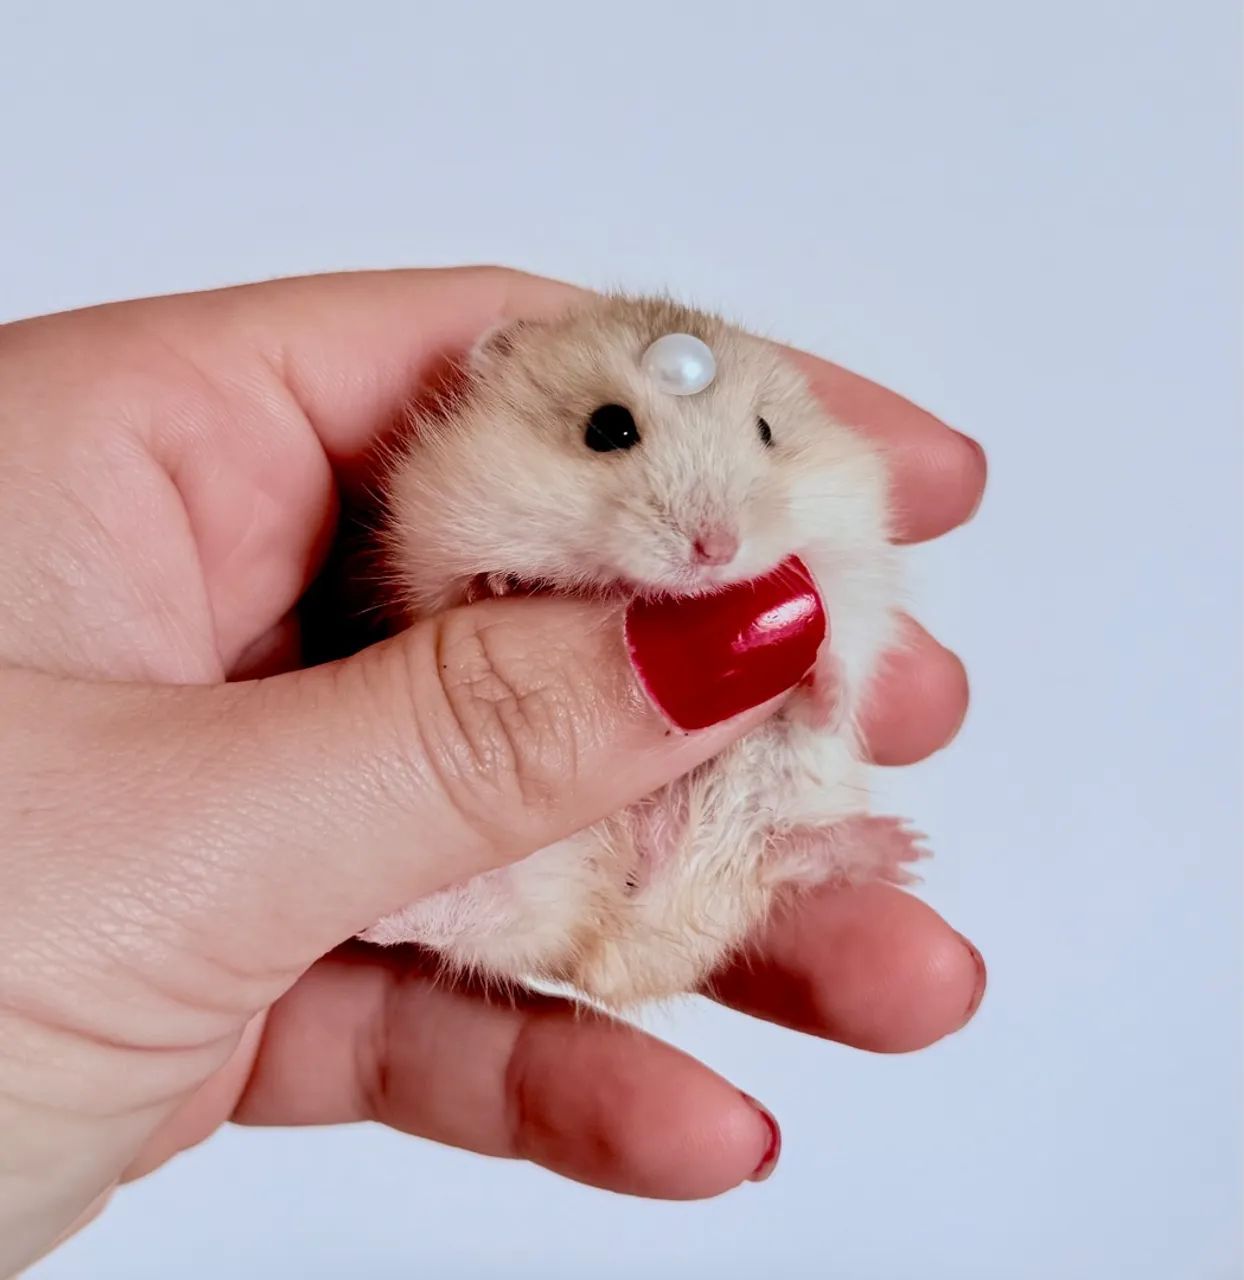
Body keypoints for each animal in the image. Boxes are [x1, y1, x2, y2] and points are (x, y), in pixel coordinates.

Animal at [359, 294, 926, 1009]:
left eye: (767, 430)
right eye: (607, 429)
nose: (717, 549)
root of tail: (610, 954)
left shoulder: (851, 576)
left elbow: (839, 663)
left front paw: (813, 665)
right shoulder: (430, 543)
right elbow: (456, 593)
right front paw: (506, 584)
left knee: (782, 851)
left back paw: (893, 847)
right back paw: (375, 921)